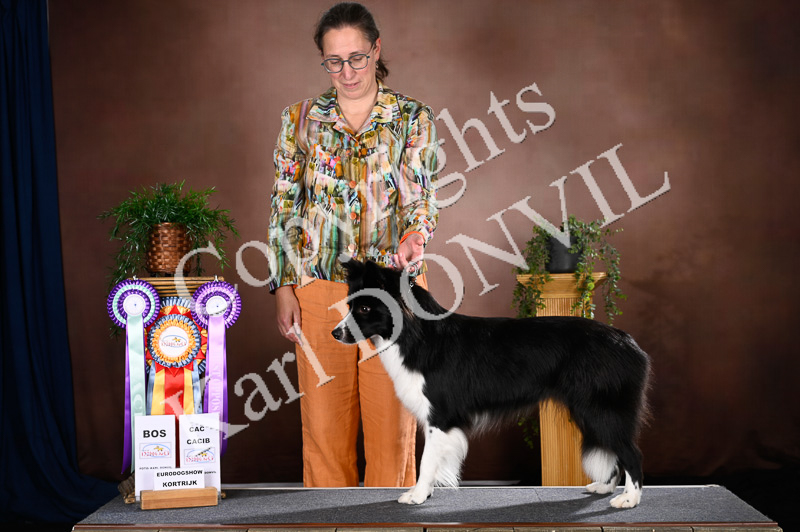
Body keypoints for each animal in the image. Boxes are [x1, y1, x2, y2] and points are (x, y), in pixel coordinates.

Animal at [331, 259, 650, 508]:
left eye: (364, 309)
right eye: (351, 305)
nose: (335, 333)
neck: (418, 334)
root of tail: (630, 343)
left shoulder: (439, 414)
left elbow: (426, 459)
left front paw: (418, 495)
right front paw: (427, 492)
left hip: (602, 408)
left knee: (631, 453)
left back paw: (629, 499)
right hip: (590, 410)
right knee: (614, 450)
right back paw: (604, 487)